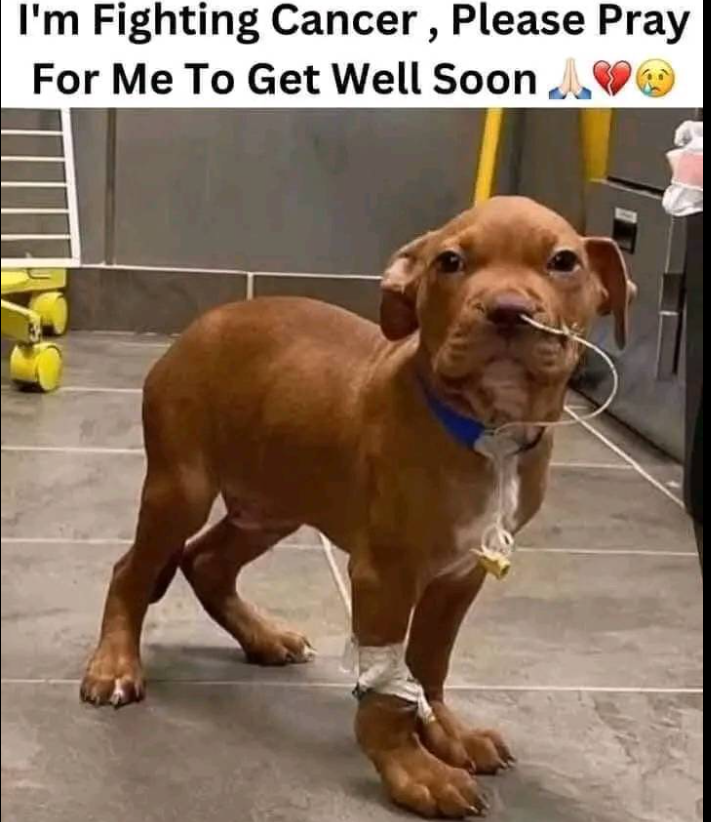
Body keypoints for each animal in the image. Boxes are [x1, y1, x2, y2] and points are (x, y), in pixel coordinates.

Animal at [81, 196, 634, 817]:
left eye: (564, 261)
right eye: (450, 261)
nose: (509, 310)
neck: (486, 433)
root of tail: (199, 327)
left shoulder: (459, 575)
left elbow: (430, 662)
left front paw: (446, 733)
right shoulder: (385, 576)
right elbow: (389, 690)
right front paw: (413, 769)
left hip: (275, 501)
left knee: (205, 561)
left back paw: (263, 638)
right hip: (182, 488)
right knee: (133, 570)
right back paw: (115, 664)